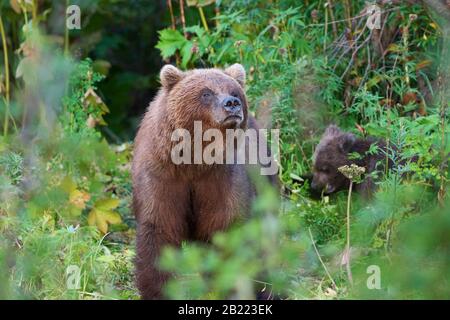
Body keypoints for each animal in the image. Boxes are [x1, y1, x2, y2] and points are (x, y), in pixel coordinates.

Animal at [132, 63, 276, 298]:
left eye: (234, 91)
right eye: (206, 93)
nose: (232, 103)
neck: (195, 161)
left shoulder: (221, 179)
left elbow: (227, 227)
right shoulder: (162, 175)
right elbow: (159, 227)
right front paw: (158, 290)